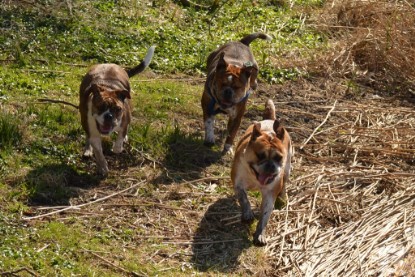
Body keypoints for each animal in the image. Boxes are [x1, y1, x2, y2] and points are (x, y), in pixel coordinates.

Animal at [79, 45, 155, 175]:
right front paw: (102, 166)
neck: (108, 88)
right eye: (100, 106)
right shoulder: (93, 133)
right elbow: (98, 152)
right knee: (88, 136)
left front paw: (117, 147)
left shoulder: (125, 121)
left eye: (118, 109)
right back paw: (88, 149)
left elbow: (120, 136)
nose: (108, 116)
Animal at [231, 98, 292, 244]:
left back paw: (283, 197)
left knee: (284, 184)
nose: (270, 166)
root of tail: (270, 120)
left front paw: (260, 234)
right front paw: (247, 214)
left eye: (278, 157)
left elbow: (265, 216)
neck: (255, 177)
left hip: (287, 170)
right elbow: (244, 199)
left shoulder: (270, 194)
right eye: (260, 155)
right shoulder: (238, 183)